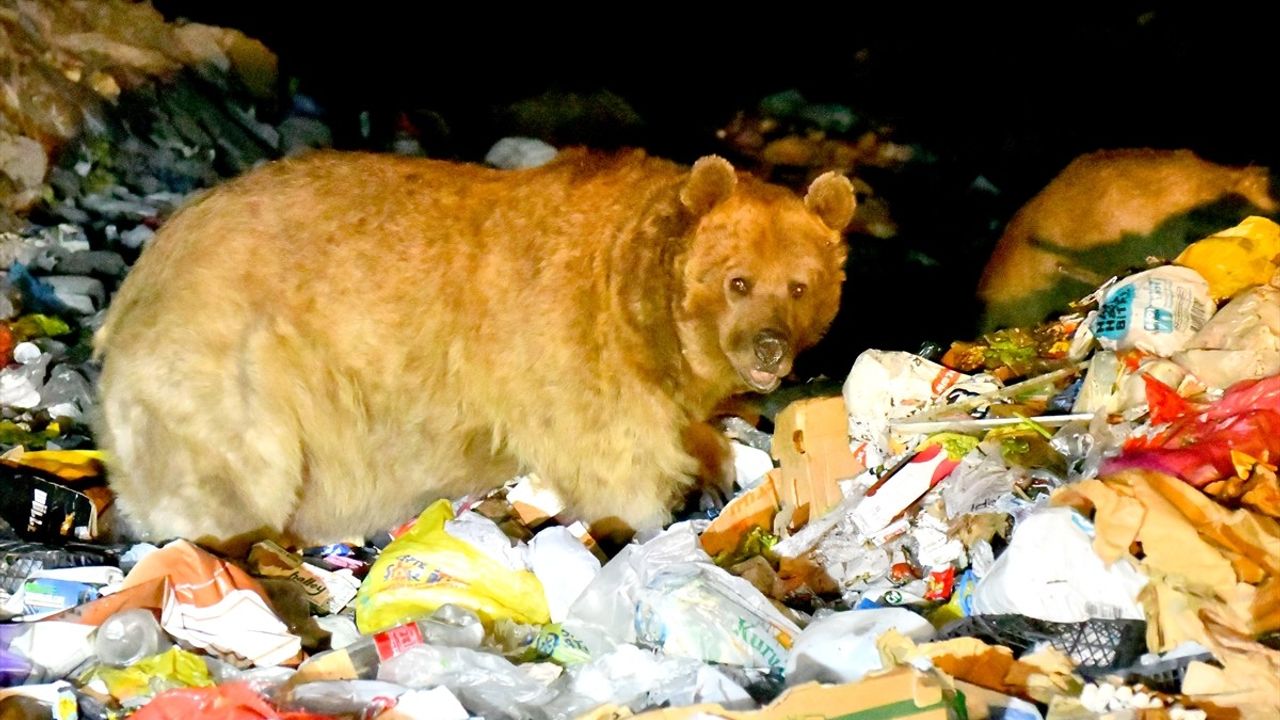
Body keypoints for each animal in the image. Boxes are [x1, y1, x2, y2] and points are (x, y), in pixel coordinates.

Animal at [87, 148, 849, 545]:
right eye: (737, 281)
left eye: (800, 285)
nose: (770, 348)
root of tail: (142, 273)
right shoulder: (571, 343)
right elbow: (615, 455)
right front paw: (649, 517)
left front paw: (716, 466)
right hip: (232, 355)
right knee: (234, 466)